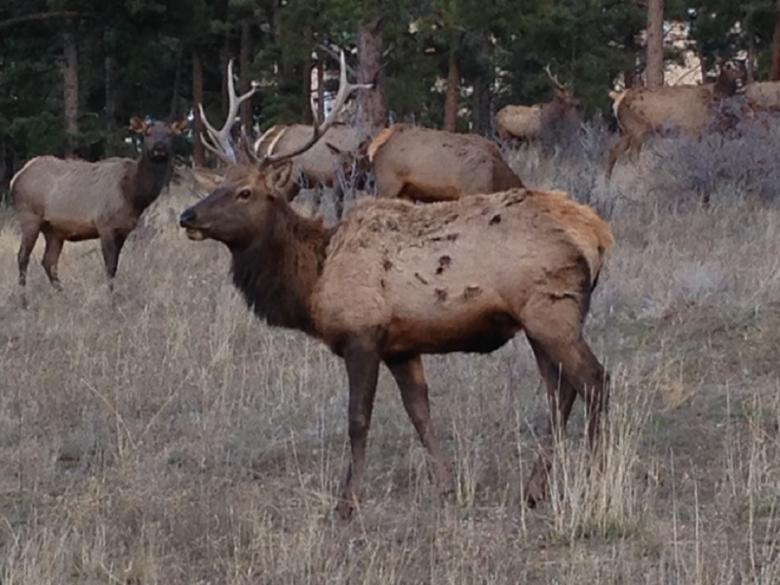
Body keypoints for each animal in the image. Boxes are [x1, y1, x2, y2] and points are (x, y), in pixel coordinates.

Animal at [11, 117, 186, 301]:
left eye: (170, 134)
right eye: (147, 133)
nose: (159, 147)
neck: (133, 195)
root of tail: (16, 177)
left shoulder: (124, 230)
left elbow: (115, 267)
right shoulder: (105, 225)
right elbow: (109, 267)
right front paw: (111, 299)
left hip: (54, 230)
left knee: (49, 262)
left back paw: (64, 295)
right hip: (29, 216)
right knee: (22, 257)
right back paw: (24, 300)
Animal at [178, 53, 614, 520]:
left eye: (244, 192)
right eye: (219, 184)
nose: (187, 216)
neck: (313, 279)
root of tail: (597, 234)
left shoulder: (362, 334)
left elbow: (357, 419)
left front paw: (347, 502)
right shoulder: (402, 346)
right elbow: (420, 414)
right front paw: (446, 485)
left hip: (553, 310)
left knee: (595, 382)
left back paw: (594, 478)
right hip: (538, 321)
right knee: (560, 392)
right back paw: (534, 490)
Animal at [606, 63, 745, 178]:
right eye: (731, 68)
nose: (744, 72)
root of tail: (618, 99)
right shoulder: (691, 130)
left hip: (625, 131)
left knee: (613, 152)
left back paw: (607, 182)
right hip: (637, 129)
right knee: (632, 155)